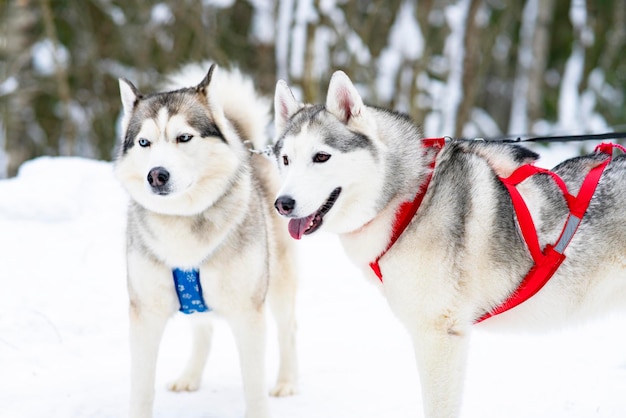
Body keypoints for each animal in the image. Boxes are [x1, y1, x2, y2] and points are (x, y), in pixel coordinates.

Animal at [115, 62, 298, 418]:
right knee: (203, 330)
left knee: (287, 328)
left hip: (280, 283)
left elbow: (253, 387)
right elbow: (141, 389)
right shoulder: (145, 314)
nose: (156, 175)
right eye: (144, 142)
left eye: (184, 137)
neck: (182, 220)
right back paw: (189, 377)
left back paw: (287, 383)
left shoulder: (248, 313)